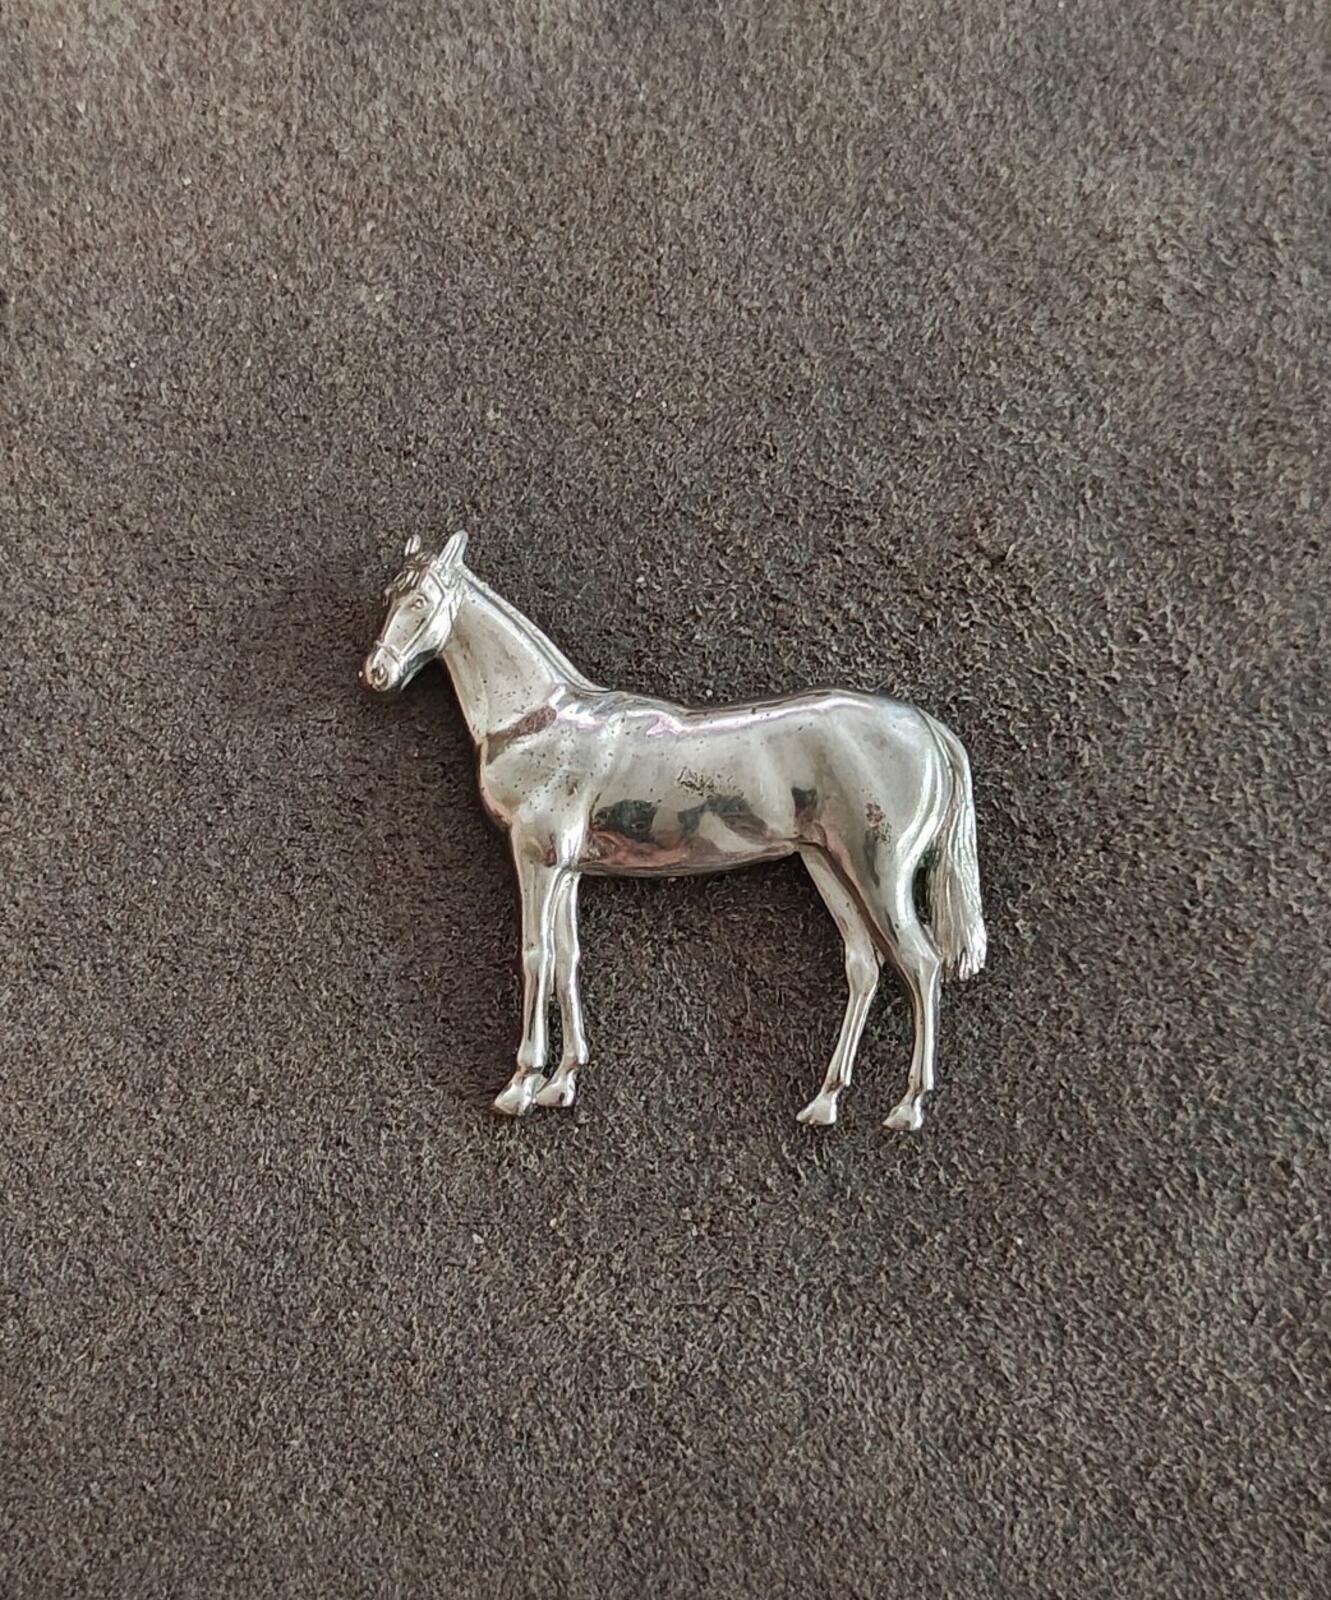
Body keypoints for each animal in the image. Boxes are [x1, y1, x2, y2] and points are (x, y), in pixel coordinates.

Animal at [362, 532, 987, 1131]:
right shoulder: (568, 868)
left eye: (420, 601)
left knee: (921, 963)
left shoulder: (537, 857)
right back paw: (825, 1101)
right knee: (864, 966)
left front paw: (521, 1085)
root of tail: (928, 730)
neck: (539, 721)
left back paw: (909, 1106)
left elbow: (537, 955)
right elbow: (568, 958)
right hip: (826, 865)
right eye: (389, 594)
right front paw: (562, 1082)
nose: (377, 673)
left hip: (877, 869)